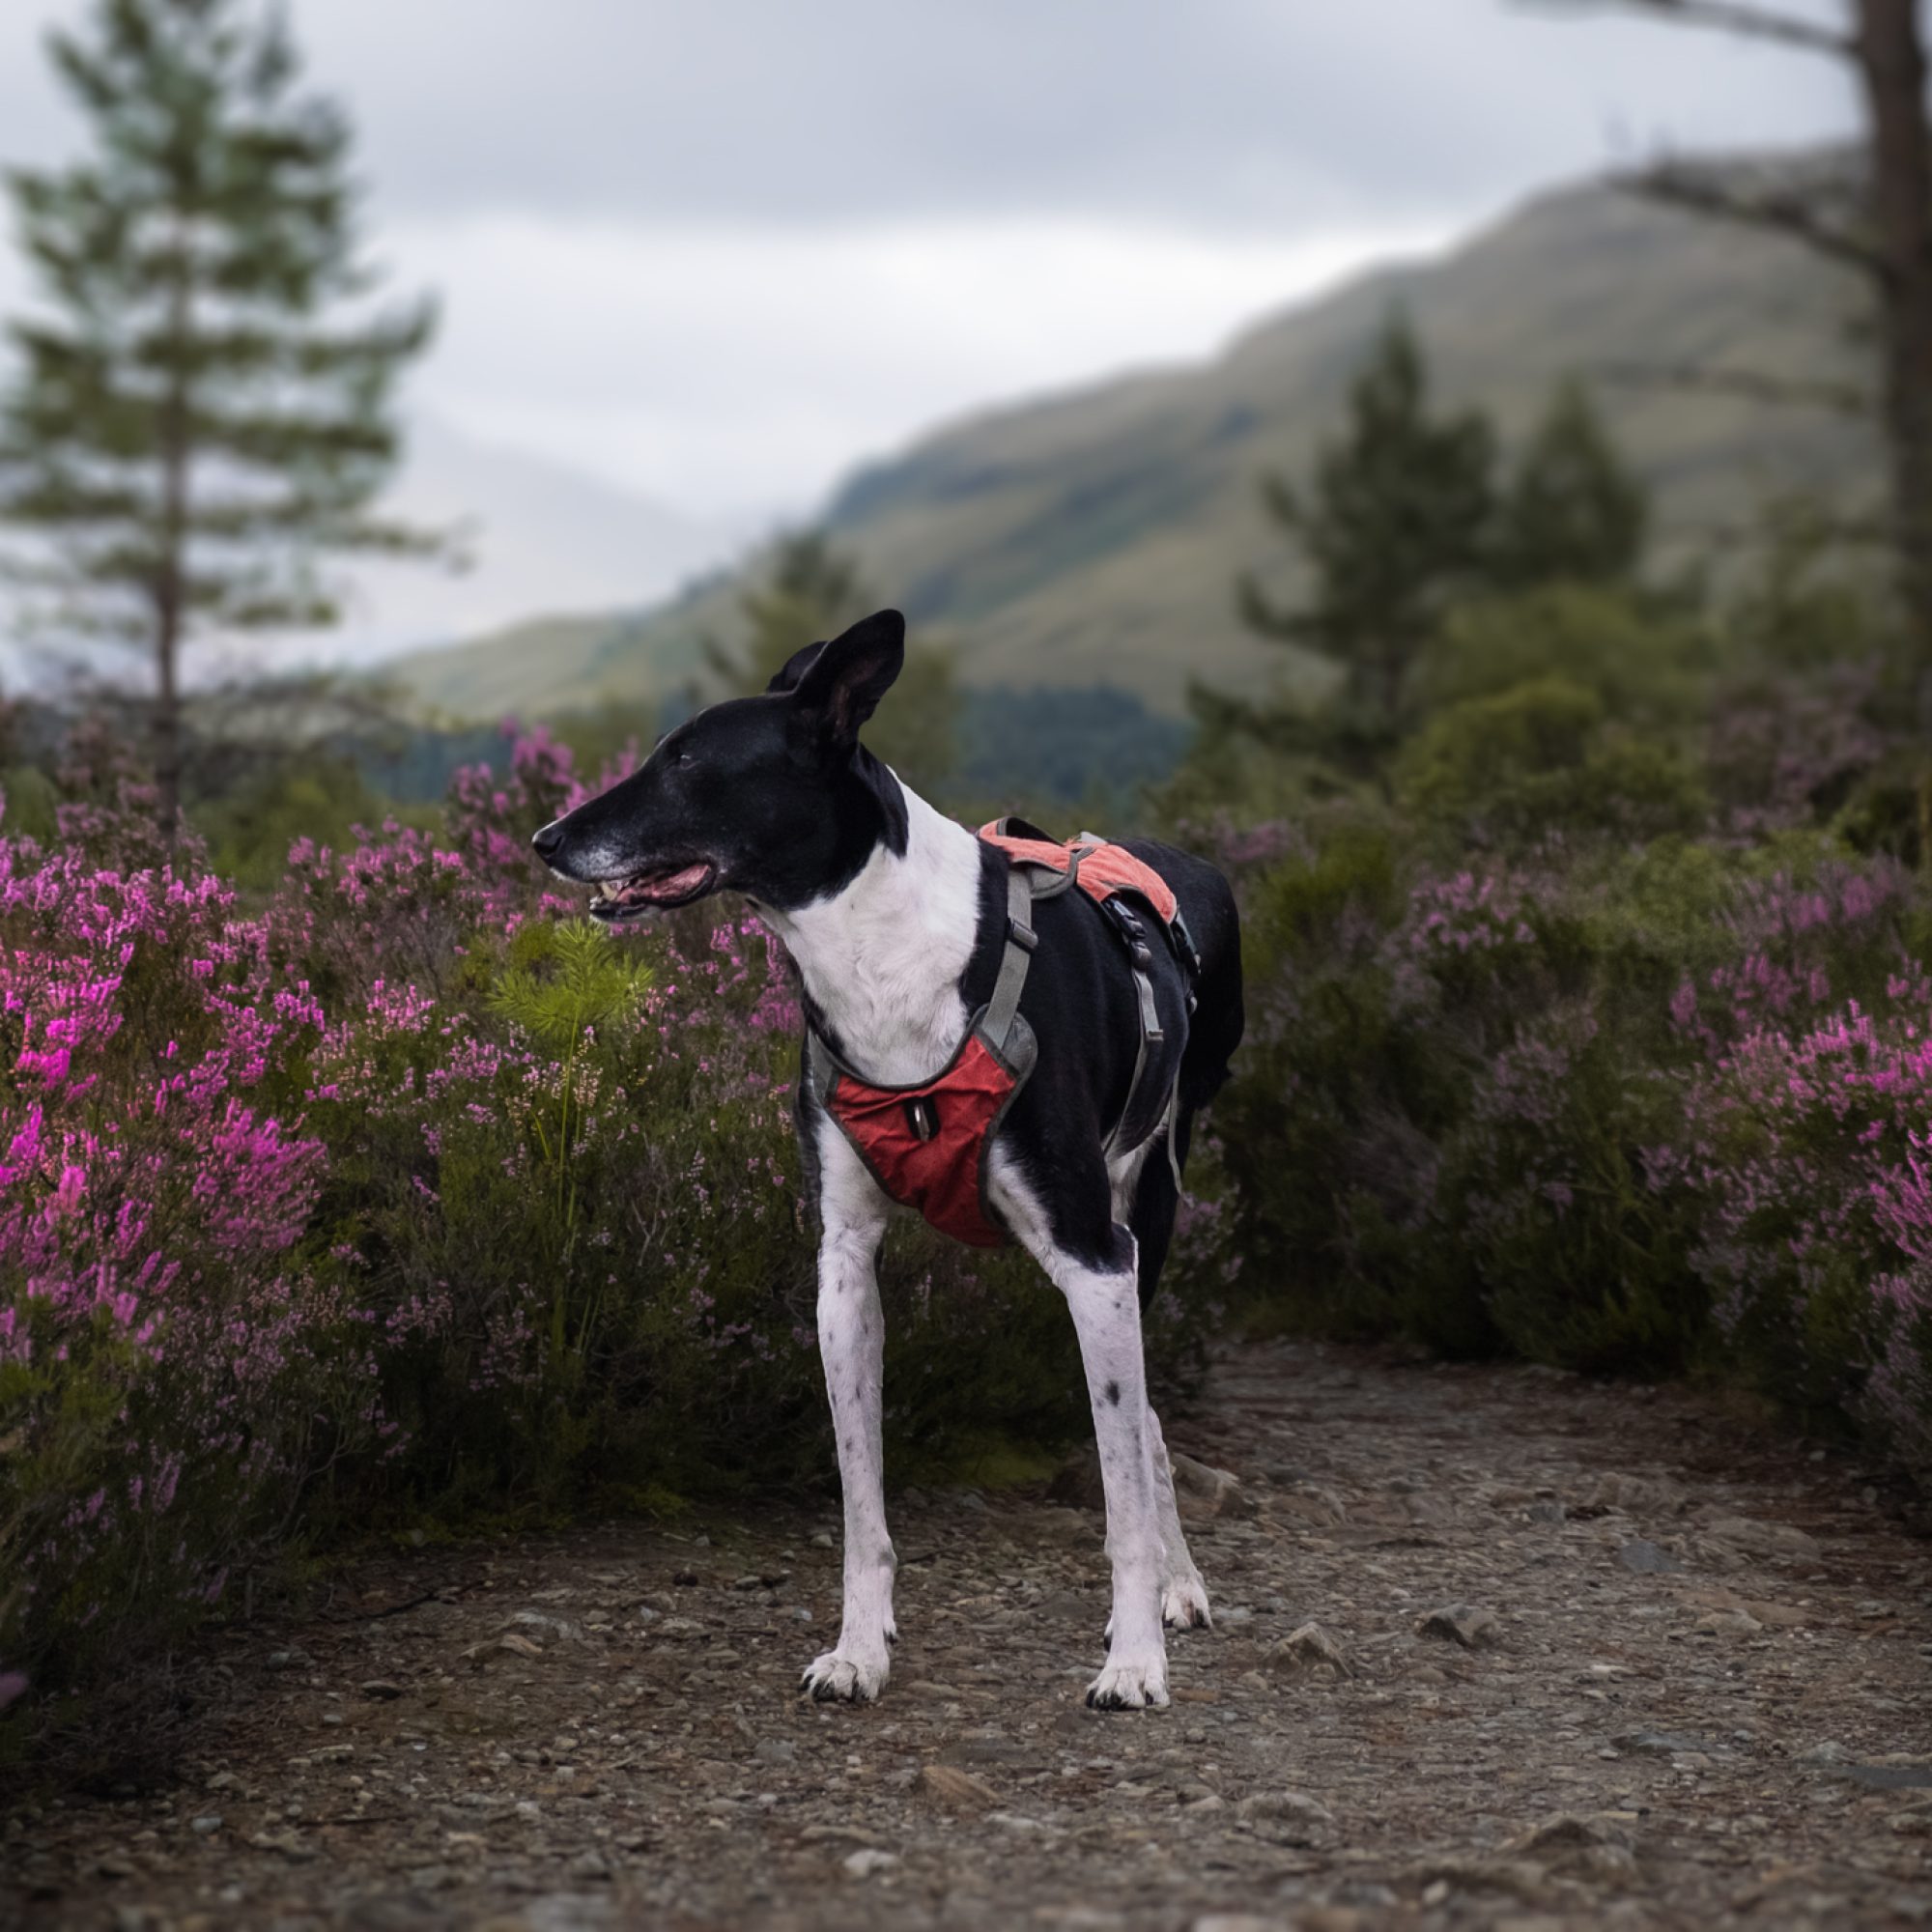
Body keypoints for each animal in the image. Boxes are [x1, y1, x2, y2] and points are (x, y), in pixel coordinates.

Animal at [537, 611, 1244, 1716]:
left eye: (688, 760)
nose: (546, 839)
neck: (882, 959)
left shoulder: (1092, 1255)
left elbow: (1119, 1485)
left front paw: (1131, 1660)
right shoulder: (843, 1267)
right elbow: (861, 1496)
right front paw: (859, 1648)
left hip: (1147, 1217)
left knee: (1142, 1426)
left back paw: (1174, 1589)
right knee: (1152, 1422)